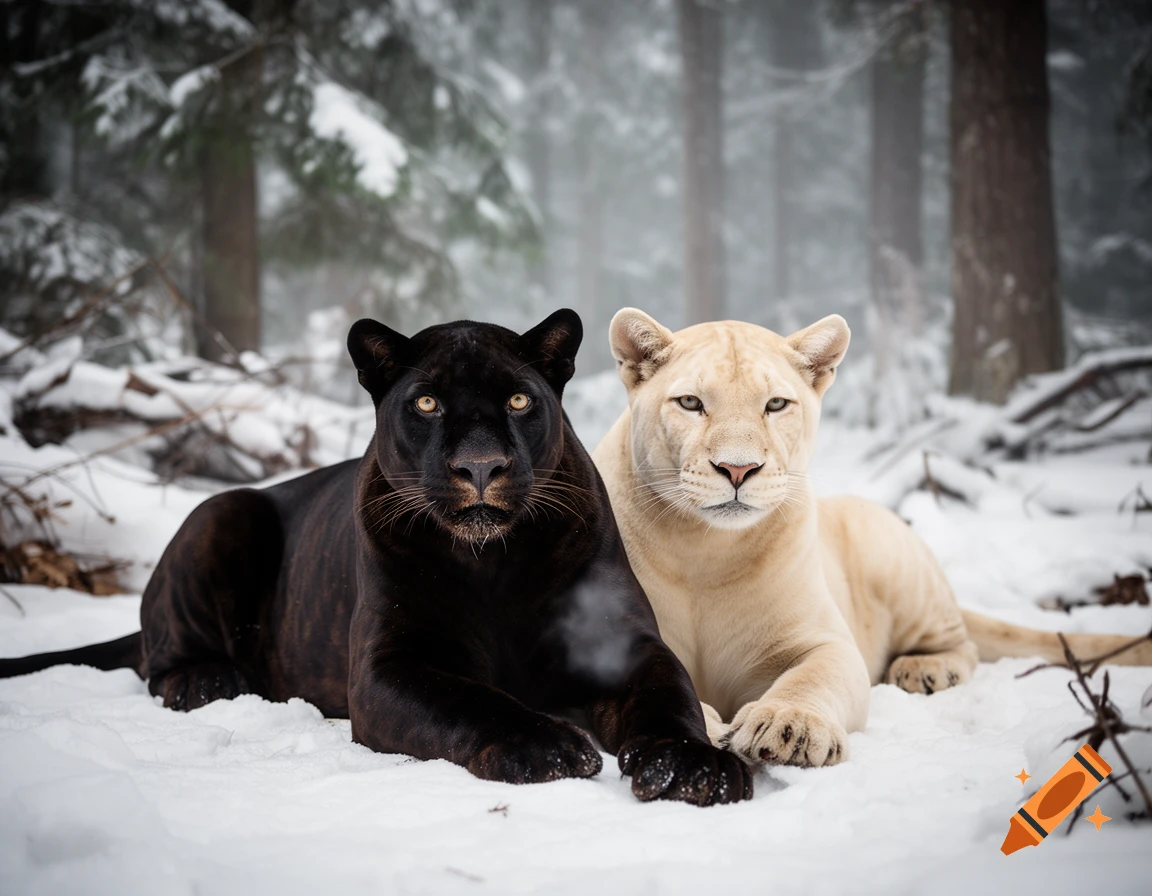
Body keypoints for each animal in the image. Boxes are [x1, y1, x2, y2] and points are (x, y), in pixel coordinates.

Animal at [591, 308, 1151, 768]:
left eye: (776, 404)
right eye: (690, 403)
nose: (737, 469)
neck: (704, 549)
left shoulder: (826, 641)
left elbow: (813, 678)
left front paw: (789, 727)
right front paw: (702, 723)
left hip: (894, 555)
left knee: (963, 642)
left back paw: (925, 670)